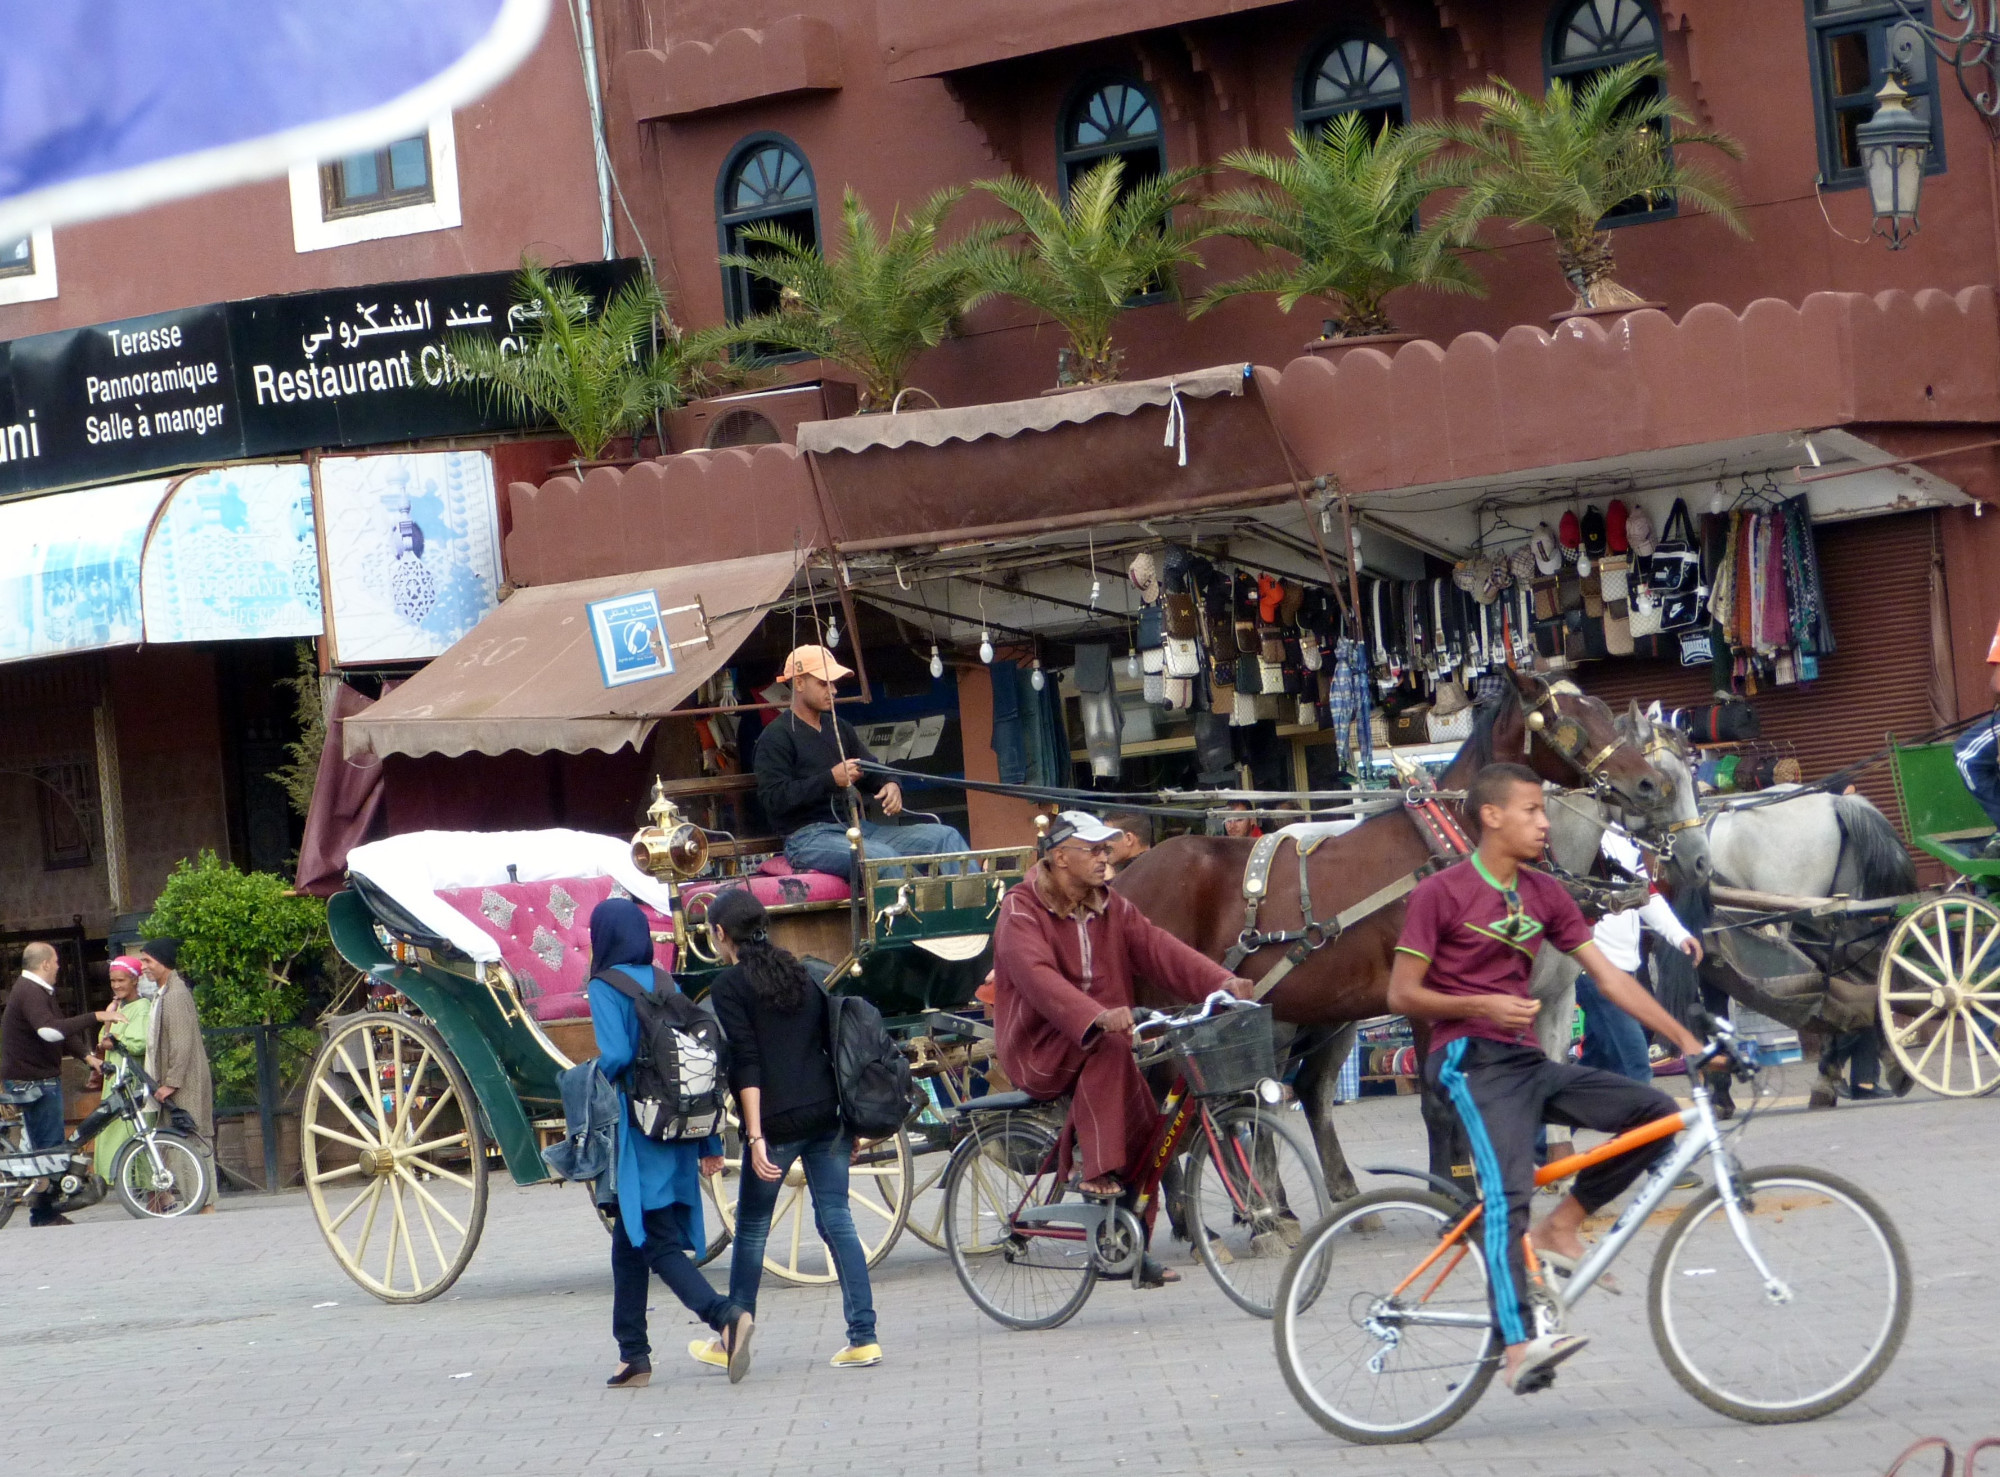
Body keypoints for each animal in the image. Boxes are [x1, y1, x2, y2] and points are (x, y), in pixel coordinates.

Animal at [1120, 668, 1664, 1200]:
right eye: (1568, 720)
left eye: (1605, 712)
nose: (1647, 784)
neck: (1453, 841)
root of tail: (1125, 880)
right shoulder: (1429, 997)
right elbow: (1440, 1100)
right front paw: (1453, 1189)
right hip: (1171, 1021)